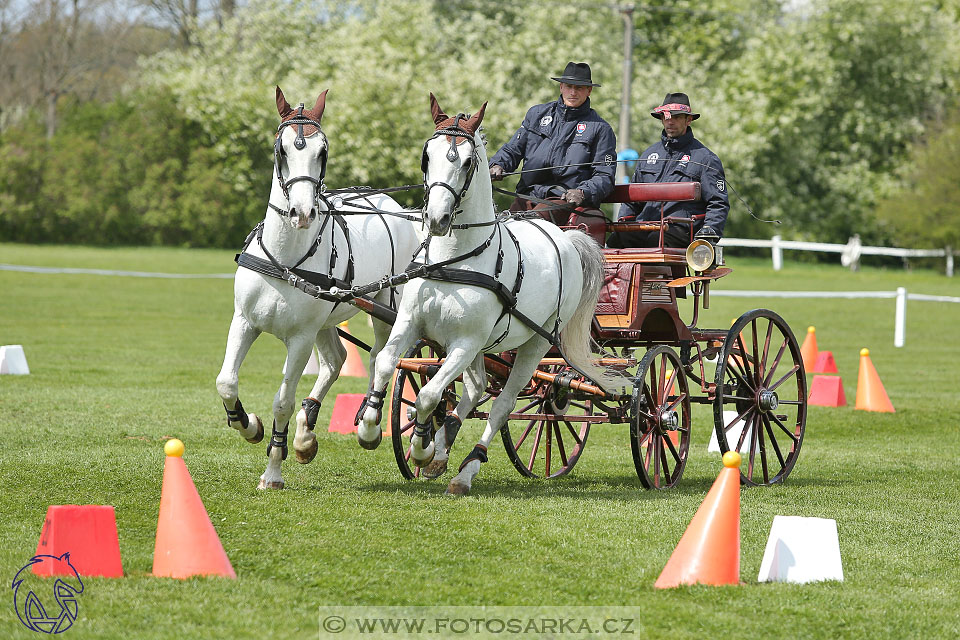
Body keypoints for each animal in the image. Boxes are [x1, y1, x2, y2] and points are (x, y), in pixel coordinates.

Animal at [218, 89, 420, 490]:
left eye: (322, 151)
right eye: (281, 149)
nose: (301, 212)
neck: (284, 259)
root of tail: (397, 206)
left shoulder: (299, 338)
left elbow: (282, 400)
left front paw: (273, 472)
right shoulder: (244, 321)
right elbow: (227, 382)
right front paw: (250, 426)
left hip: (385, 307)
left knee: (381, 358)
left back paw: (369, 423)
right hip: (328, 317)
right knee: (337, 360)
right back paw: (305, 434)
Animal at [358, 94, 616, 496]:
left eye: (466, 161)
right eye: (426, 155)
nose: (436, 219)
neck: (453, 259)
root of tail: (566, 237)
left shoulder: (465, 341)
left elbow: (430, 394)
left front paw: (420, 446)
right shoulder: (412, 322)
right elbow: (387, 363)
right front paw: (371, 429)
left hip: (536, 343)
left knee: (503, 404)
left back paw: (465, 470)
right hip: (485, 345)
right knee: (477, 387)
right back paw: (443, 447)